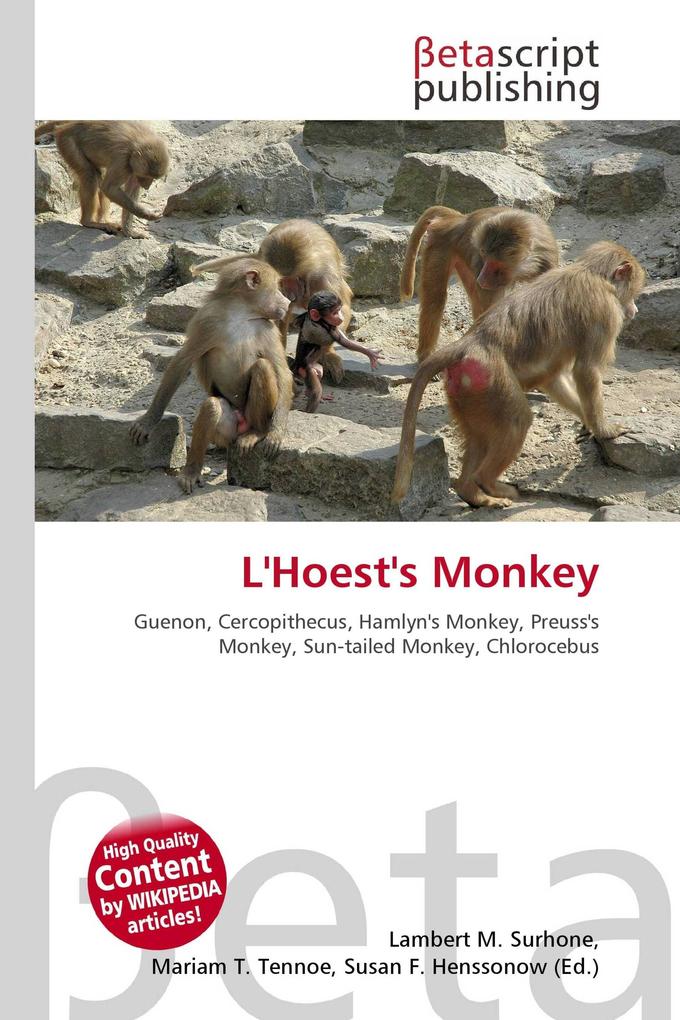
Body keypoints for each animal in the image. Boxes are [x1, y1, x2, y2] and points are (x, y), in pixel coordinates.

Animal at [34, 121, 169, 238]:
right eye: (147, 177)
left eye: (152, 179)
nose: (147, 186)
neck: (137, 144)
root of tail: (65, 126)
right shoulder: (122, 161)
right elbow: (109, 188)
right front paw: (148, 214)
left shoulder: (133, 168)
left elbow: (129, 191)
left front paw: (130, 232)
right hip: (67, 142)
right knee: (90, 175)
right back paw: (88, 222)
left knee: (100, 175)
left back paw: (104, 221)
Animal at [129, 256, 292, 494]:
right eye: (277, 287)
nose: (287, 302)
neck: (242, 315)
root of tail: (242, 425)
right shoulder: (207, 323)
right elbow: (181, 363)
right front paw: (148, 421)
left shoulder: (268, 328)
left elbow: (283, 373)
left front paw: (275, 433)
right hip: (226, 432)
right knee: (212, 407)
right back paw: (191, 472)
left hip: (251, 416)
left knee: (263, 367)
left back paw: (257, 432)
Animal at [392, 241, 646, 510]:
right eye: (632, 292)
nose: (635, 309)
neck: (591, 272)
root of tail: (467, 344)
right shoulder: (605, 311)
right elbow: (587, 370)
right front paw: (604, 429)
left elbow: (552, 379)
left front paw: (586, 422)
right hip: (491, 380)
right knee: (517, 421)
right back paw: (487, 482)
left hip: (465, 389)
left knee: (479, 437)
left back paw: (473, 494)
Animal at [400, 205, 560, 361]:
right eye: (484, 255)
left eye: (495, 263)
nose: (481, 279)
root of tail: (458, 220)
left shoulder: (547, 264)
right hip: (440, 246)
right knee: (436, 299)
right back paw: (425, 356)